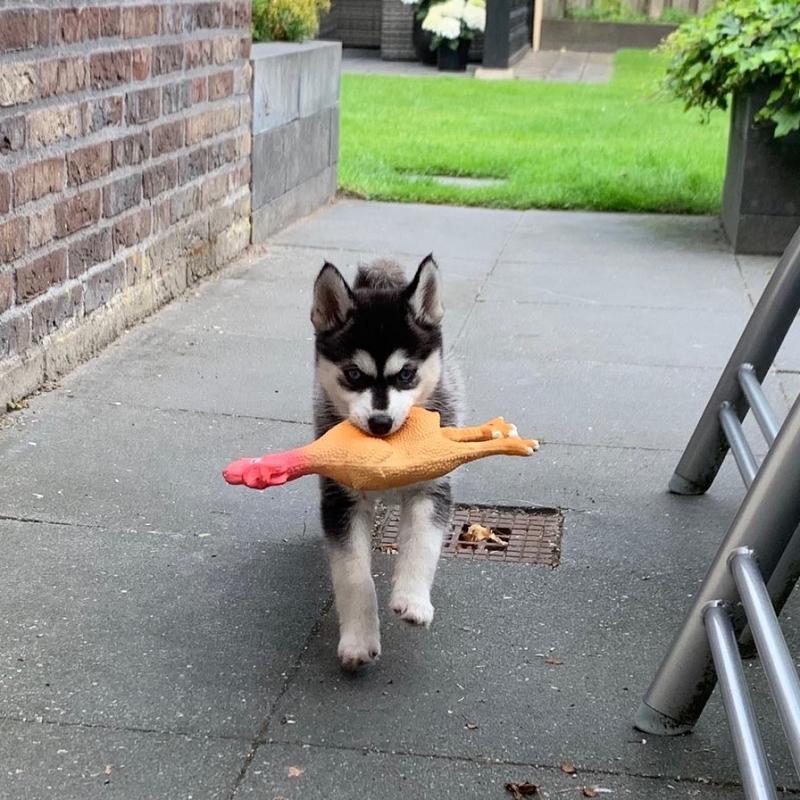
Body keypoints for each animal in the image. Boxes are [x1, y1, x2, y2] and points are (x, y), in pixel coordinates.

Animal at [312, 256, 462, 668]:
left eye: (407, 373)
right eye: (353, 374)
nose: (381, 422)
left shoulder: (431, 491)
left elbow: (422, 544)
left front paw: (412, 599)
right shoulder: (342, 500)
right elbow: (353, 575)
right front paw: (359, 639)